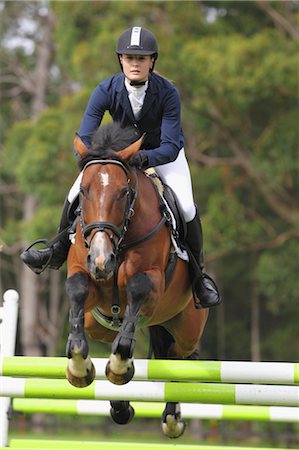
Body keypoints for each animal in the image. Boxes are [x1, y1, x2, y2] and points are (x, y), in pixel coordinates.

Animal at [65, 121, 209, 438]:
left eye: (123, 192)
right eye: (83, 190)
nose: (101, 260)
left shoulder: (151, 282)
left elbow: (137, 294)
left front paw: (119, 366)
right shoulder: (84, 275)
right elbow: (77, 291)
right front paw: (79, 368)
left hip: (187, 330)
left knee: (175, 356)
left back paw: (171, 418)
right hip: (99, 325)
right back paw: (120, 406)